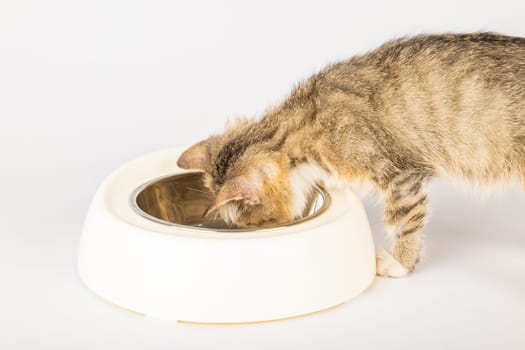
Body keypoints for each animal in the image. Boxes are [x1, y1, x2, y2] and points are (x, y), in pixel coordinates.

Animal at [175, 34, 524, 278]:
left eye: (251, 221)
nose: (251, 233)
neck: (303, 124)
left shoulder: (400, 177)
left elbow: (405, 222)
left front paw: (401, 263)